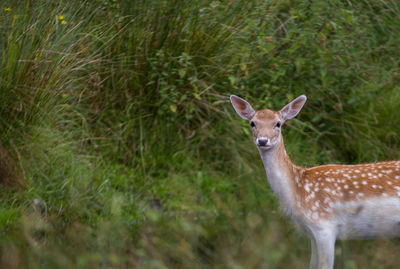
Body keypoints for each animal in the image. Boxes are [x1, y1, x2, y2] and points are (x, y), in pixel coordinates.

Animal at [230, 94, 400, 268]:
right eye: (252, 123)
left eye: (278, 123)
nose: (263, 140)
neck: (297, 189)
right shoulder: (311, 232)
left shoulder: (324, 226)